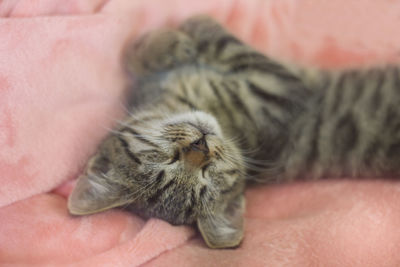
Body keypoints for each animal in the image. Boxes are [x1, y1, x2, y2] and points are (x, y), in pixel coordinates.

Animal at [67, 15, 400, 250]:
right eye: (171, 162)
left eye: (207, 173)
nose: (201, 145)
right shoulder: (272, 85)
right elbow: (220, 41)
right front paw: (182, 35)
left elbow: (146, 54)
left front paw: (163, 44)